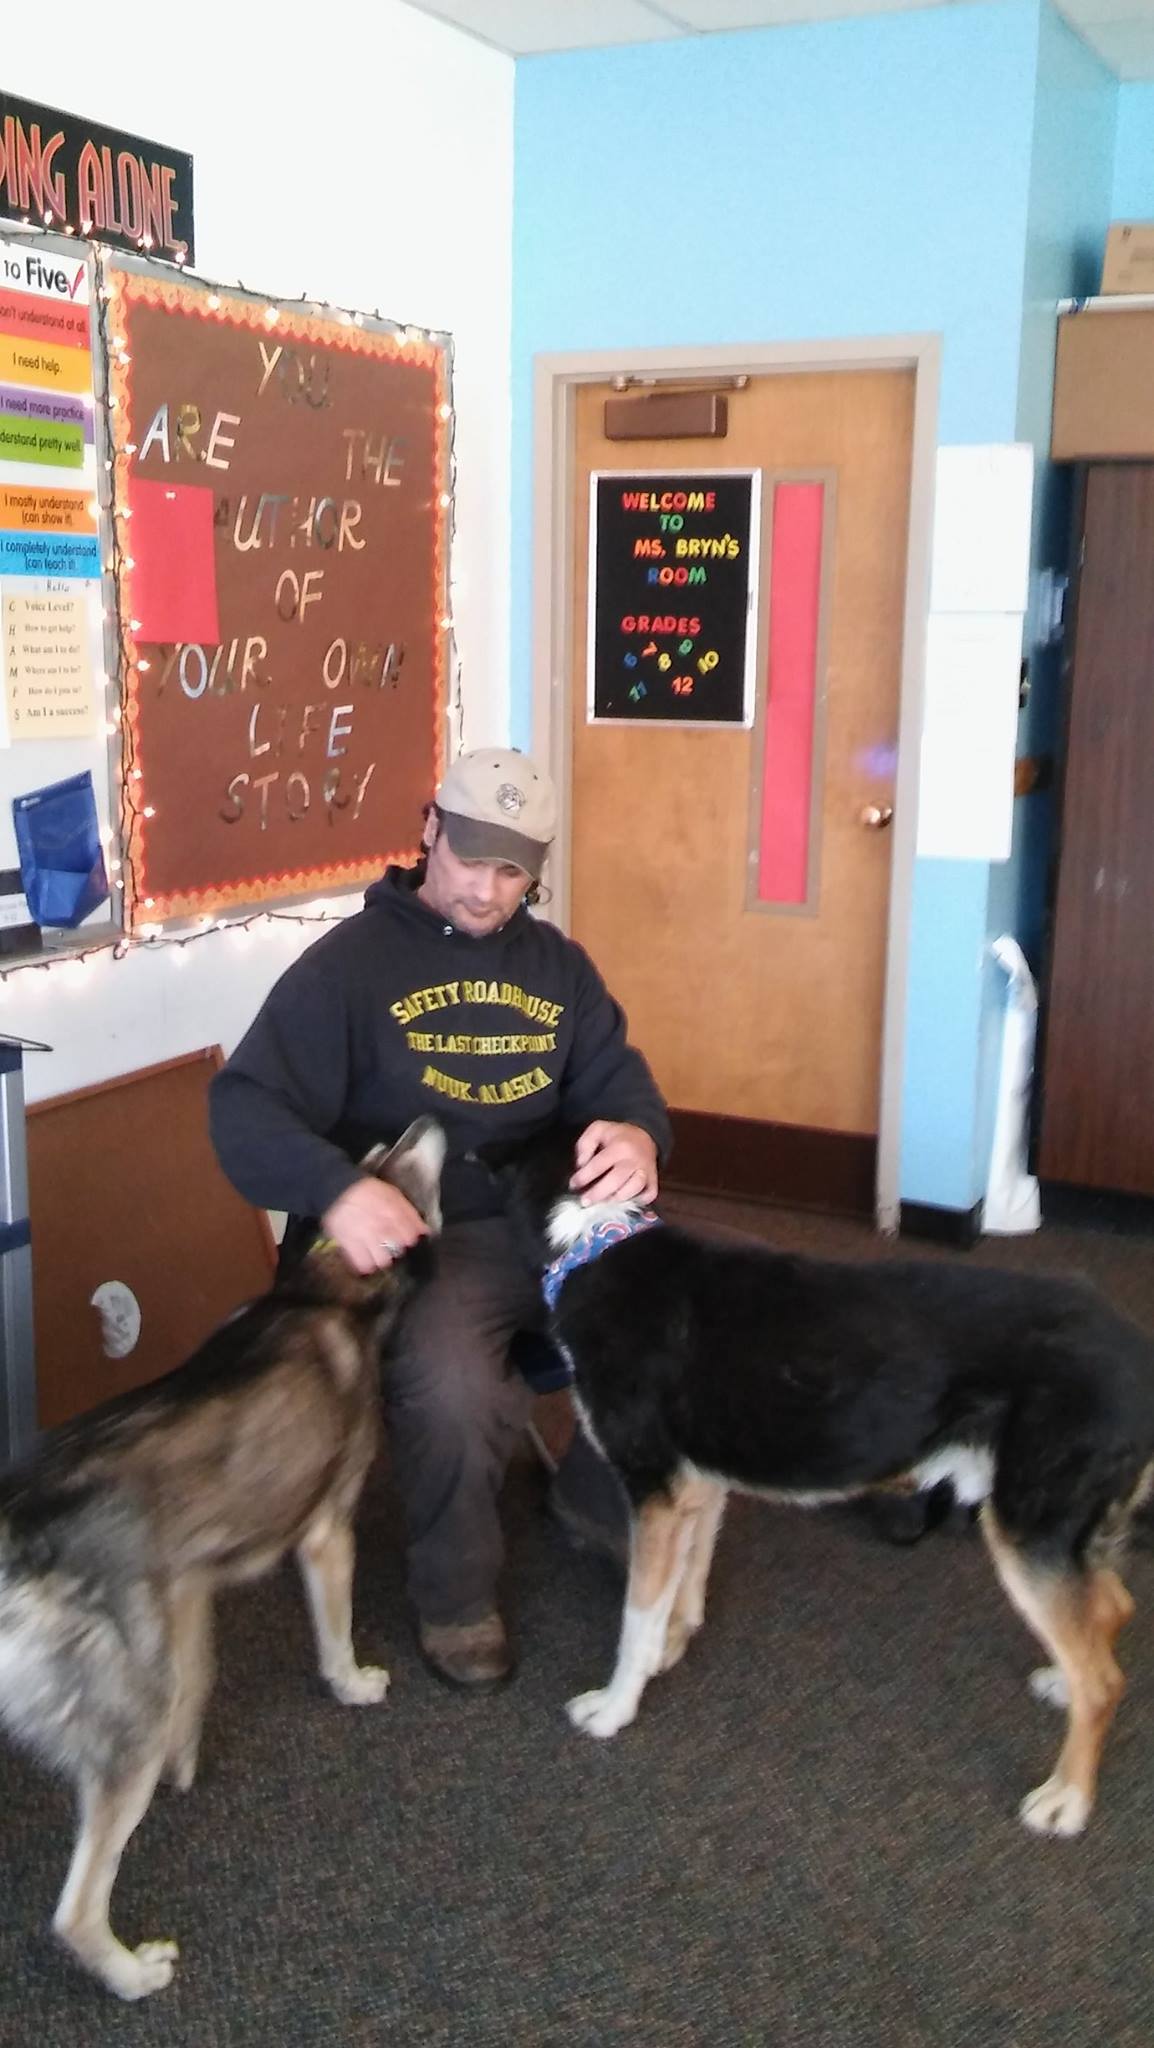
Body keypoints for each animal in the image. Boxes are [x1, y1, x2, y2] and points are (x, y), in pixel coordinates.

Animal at [493, 1130, 1154, 1851]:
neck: (591, 1238)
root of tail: (1136, 1349)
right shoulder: (698, 1491)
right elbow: (684, 1592)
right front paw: (669, 1652)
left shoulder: (655, 1494)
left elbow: (635, 1620)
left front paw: (615, 1707)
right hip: (1061, 1530)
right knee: (1111, 1609)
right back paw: (1061, 1682)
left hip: (1029, 1525)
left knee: (1104, 1680)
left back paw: (1066, 1799)